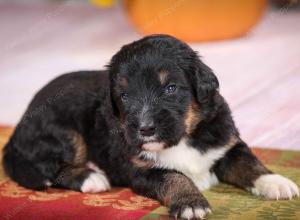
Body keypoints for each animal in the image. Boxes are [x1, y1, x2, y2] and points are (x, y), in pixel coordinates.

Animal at [1, 34, 298, 218]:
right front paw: (191, 203)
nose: (144, 129)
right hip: (65, 132)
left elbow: (249, 162)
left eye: (170, 88)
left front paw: (276, 182)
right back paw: (91, 177)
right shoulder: (140, 170)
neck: (184, 136)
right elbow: (174, 176)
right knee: (49, 166)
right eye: (124, 95)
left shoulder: (225, 143)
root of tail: (20, 124)